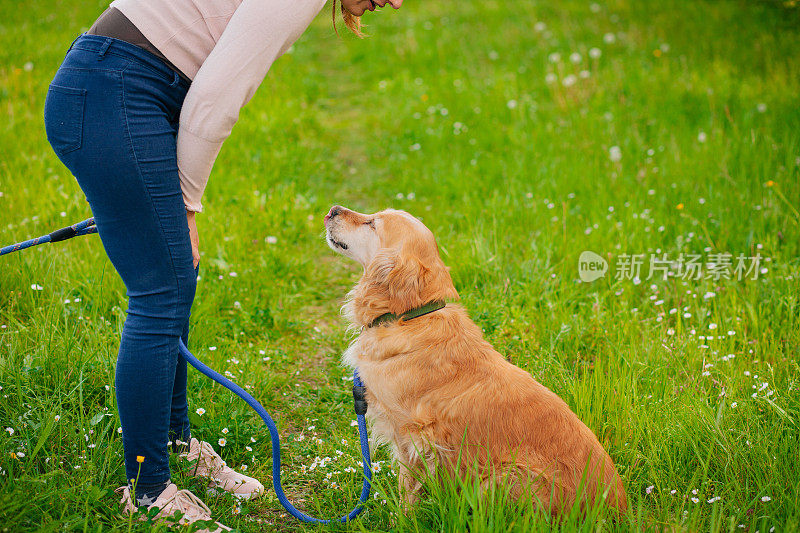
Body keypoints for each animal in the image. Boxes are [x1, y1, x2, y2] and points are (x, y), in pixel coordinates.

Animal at [322, 205, 628, 516]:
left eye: (372, 223)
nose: (332, 210)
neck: (410, 316)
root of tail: (618, 510)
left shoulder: (409, 433)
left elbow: (407, 486)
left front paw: (404, 517)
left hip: (505, 477)